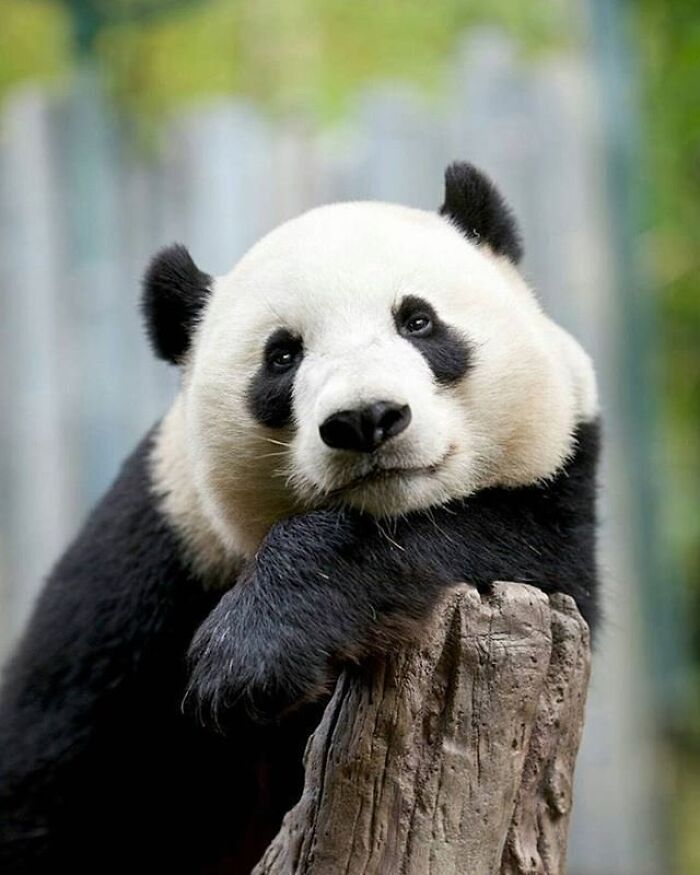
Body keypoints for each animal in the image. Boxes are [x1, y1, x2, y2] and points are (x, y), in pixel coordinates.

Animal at [0, 162, 599, 874]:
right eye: (282, 355)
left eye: (418, 320)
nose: (366, 419)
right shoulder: (152, 556)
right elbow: (53, 772)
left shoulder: (563, 487)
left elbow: (506, 540)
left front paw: (253, 654)